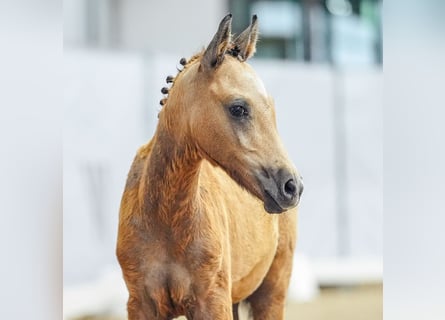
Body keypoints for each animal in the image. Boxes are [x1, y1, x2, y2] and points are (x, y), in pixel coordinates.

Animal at [115, 14, 302, 320]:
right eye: (238, 108)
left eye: (272, 109)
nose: (292, 186)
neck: (164, 219)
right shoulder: (141, 305)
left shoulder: (212, 301)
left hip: (271, 294)